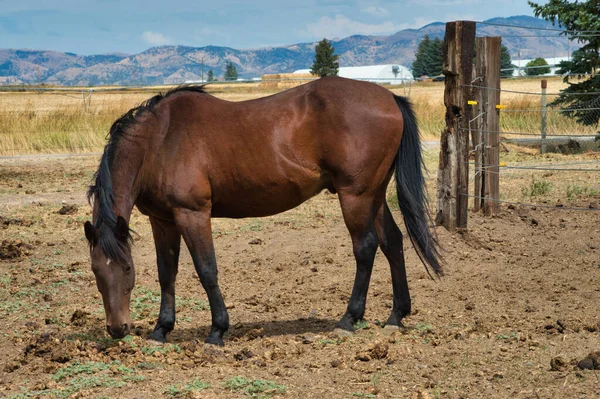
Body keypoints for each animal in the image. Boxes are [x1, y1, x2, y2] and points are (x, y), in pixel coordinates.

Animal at [83, 76, 440, 346]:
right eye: (96, 271)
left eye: (126, 269)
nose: (117, 329)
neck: (159, 141)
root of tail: (390, 97)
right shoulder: (163, 220)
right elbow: (166, 272)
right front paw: (161, 329)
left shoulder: (192, 214)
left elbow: (206, 269)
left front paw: (217, 330)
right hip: (374, 195)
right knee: (392, 242)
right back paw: (396, 316)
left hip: (356, 195)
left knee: (365, 248)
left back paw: (348, 319)